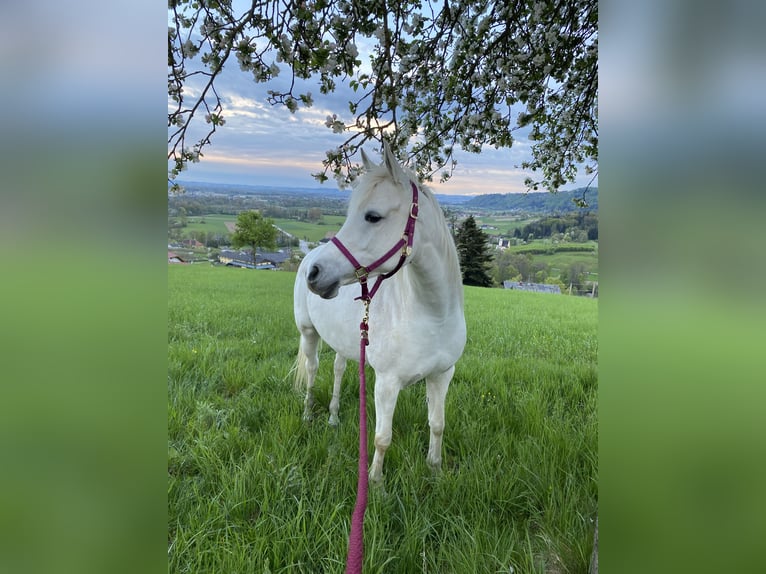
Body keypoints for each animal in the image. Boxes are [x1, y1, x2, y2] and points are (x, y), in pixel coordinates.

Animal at [294, 142, 468, 484]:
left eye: (373, 216)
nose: (315, 274)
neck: (434, 316)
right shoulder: (387, 382)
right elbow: (382, 438)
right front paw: (375, 483)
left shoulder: (442, 375)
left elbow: (437, 425)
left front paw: (435, 471)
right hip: (308, 334)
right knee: (312, 370)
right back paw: (307, 414)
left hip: (346, 344)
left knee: (337, 370)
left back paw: (333, 418)